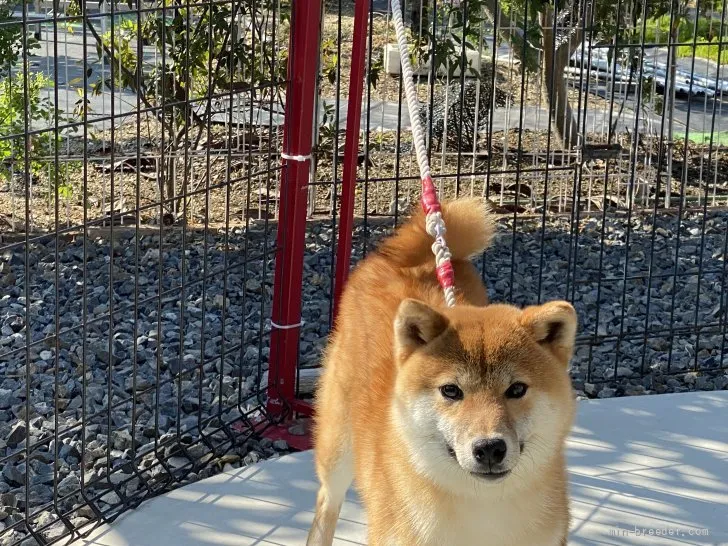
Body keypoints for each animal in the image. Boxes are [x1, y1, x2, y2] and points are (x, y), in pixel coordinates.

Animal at [306, 198, 576, 540]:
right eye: (451, 390)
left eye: (517, 389)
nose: (489, 448)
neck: (482, 512)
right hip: (338, 450)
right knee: (327, 501)